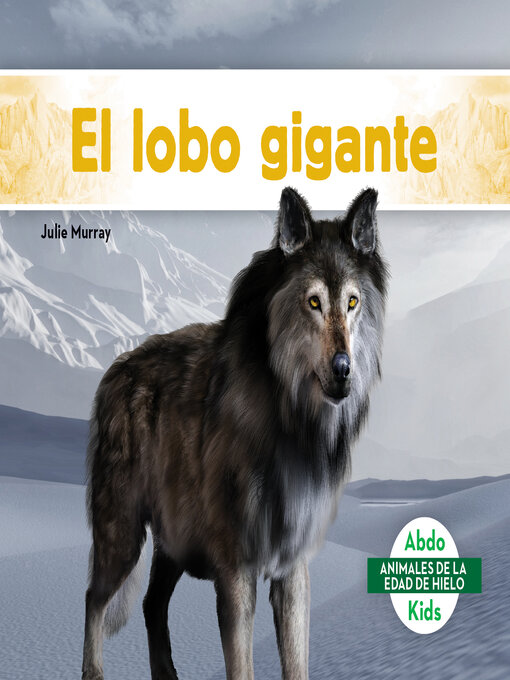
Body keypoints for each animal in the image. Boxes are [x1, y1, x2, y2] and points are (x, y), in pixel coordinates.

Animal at [82, 187, 389, 680]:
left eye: (352, 302)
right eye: (314, 302)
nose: (344, 370)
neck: (290, 422)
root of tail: (115, 369)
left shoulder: (292, 565)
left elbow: (296, 663)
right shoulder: (236, 567)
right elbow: (241, 664)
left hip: (171, 543)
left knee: (151, 604)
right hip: (123, 534)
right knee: (94, 598)